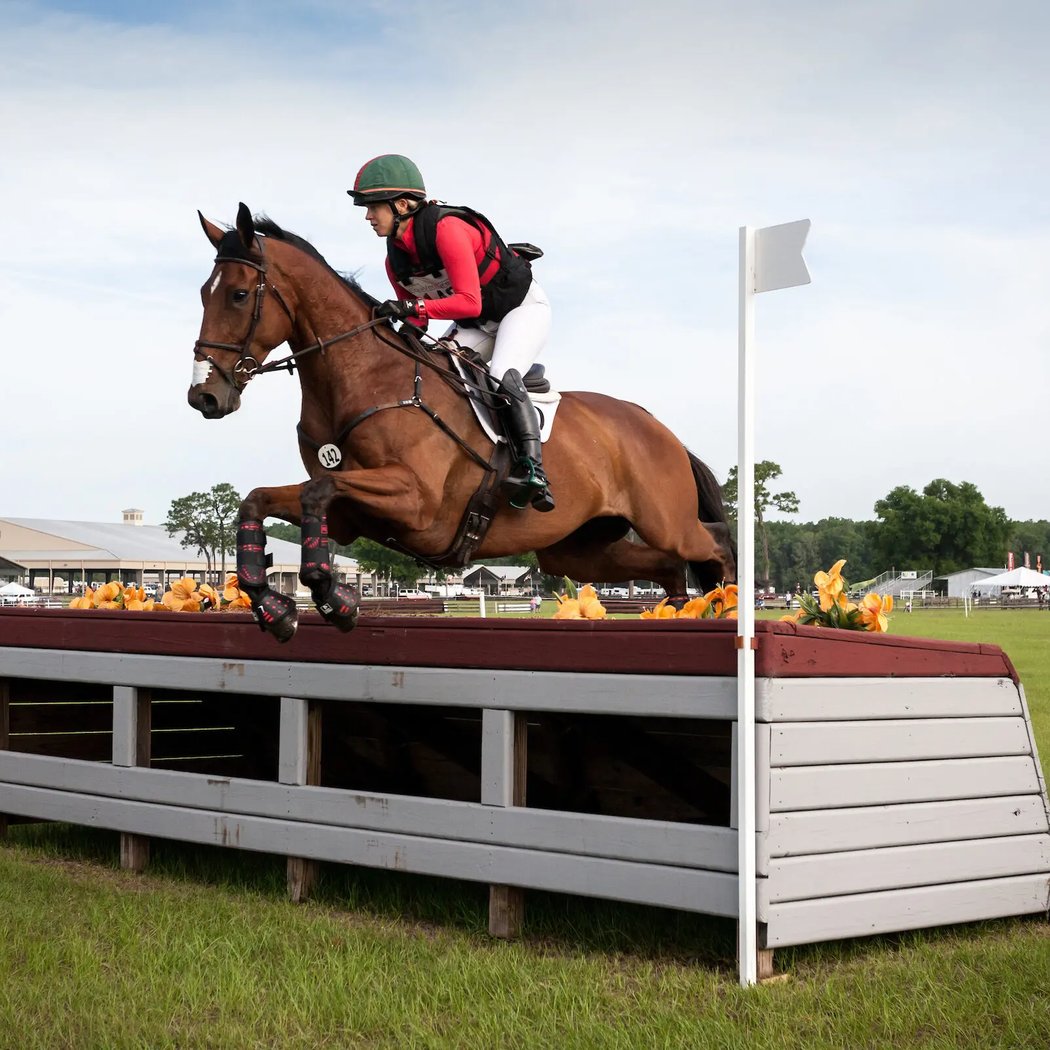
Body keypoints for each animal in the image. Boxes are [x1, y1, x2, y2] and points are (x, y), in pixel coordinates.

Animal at [189, 204, 735, 641]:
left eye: (239, 295)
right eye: (202, 293)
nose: (204, 396)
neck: (366, 377)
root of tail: (661, 430)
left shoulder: (415, 501)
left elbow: (315, 492)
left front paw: (333, 599)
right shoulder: (350, 515)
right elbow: (263, 499)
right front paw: (275, 607)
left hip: (664, 522)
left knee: (713, 546)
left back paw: (727, 610)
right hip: (578, 549)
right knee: (668, 567)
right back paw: (681, 612)